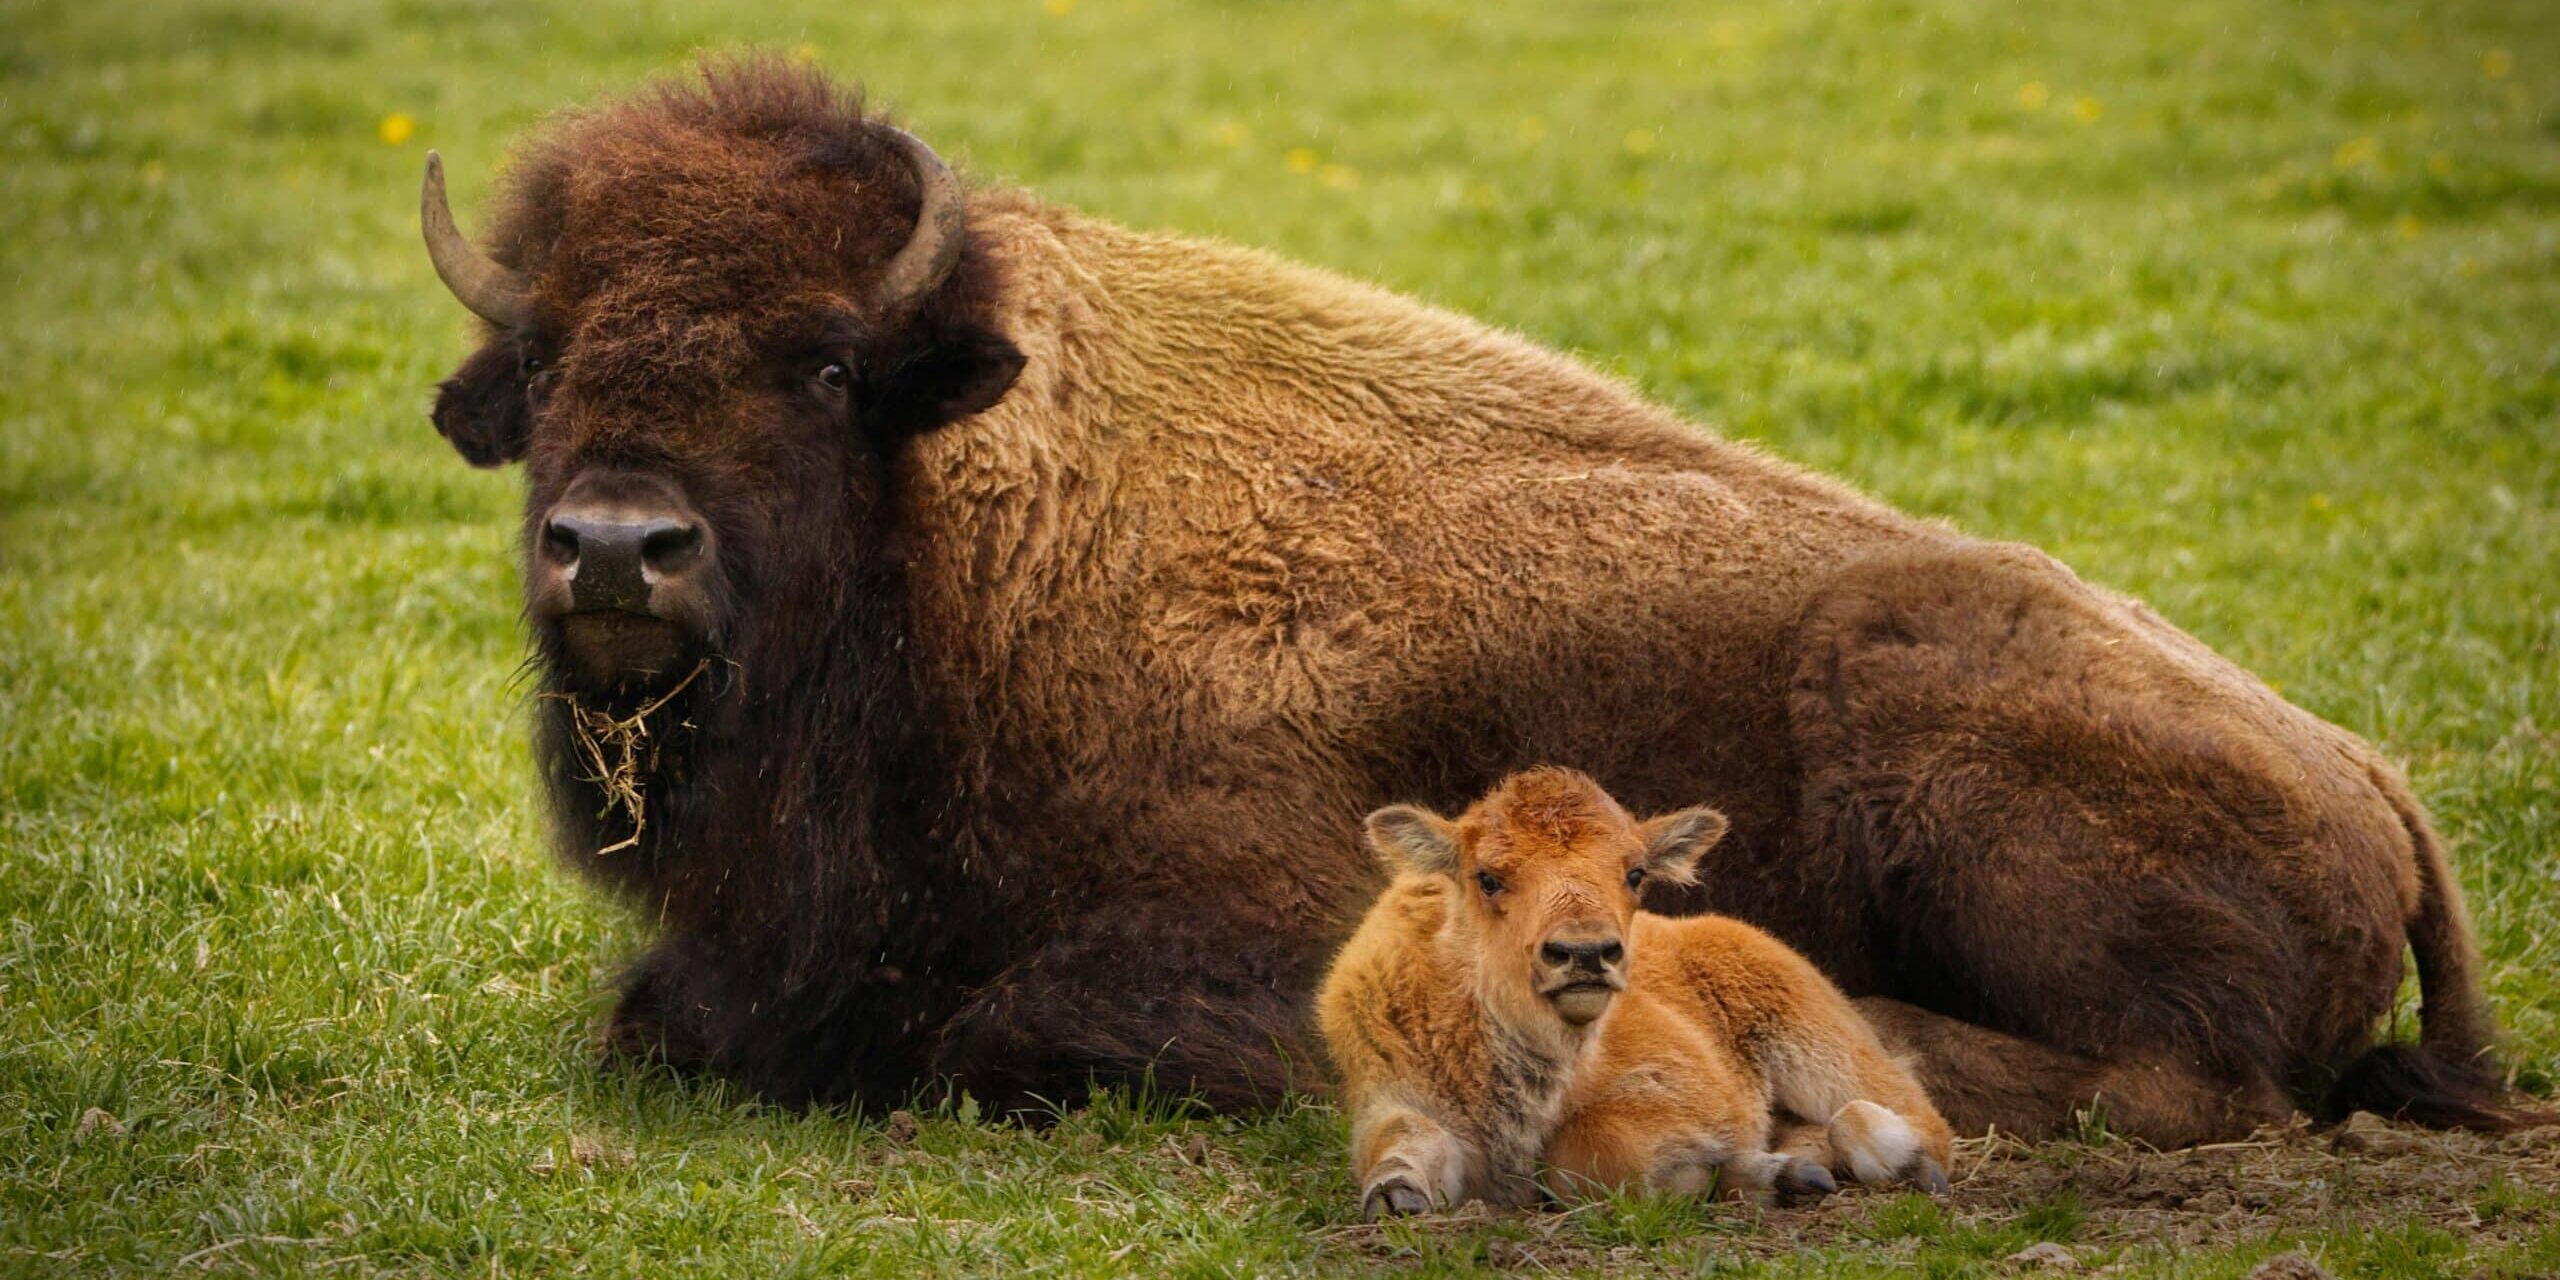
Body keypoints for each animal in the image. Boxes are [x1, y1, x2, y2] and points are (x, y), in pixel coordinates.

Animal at [413, 59, 2522, 1141]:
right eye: (550, 352)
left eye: (827, 365)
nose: (618, 547)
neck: (968, 525)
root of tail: (2372, 774)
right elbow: (657, 1020)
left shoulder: (1251, 935)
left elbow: (989, 1038)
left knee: (2180, 1089)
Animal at [1321, 768, 1954, 1217]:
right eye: (1488, 878)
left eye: (1634, 874)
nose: (1584, 954)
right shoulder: (1390, 1091)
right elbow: (1402, 1140)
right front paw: (1396, 1195)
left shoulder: (1690, 1092)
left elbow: (1587, 1148)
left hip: (1820, 1047)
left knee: (1907, 1116)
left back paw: (1890, 1163)